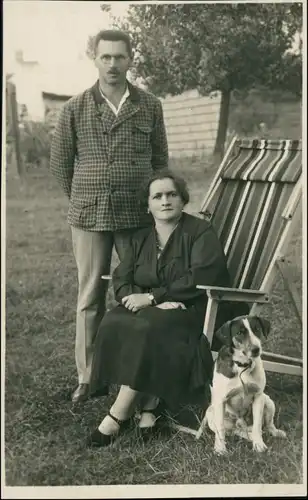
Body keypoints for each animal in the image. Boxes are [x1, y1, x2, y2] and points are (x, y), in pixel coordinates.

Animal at [196, 316, 288, 454]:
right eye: (239, 332)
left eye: (257, 329)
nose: (256, 350)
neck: (242, 366)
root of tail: (242, 424)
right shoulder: (220, 401)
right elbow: (220, 429)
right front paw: (220, 449)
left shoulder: (258, 396)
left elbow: (257, 426)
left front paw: (259, 444)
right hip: (211, 413)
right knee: (234, 431)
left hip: (268, 401)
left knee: (268, 425)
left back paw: (275, 433)